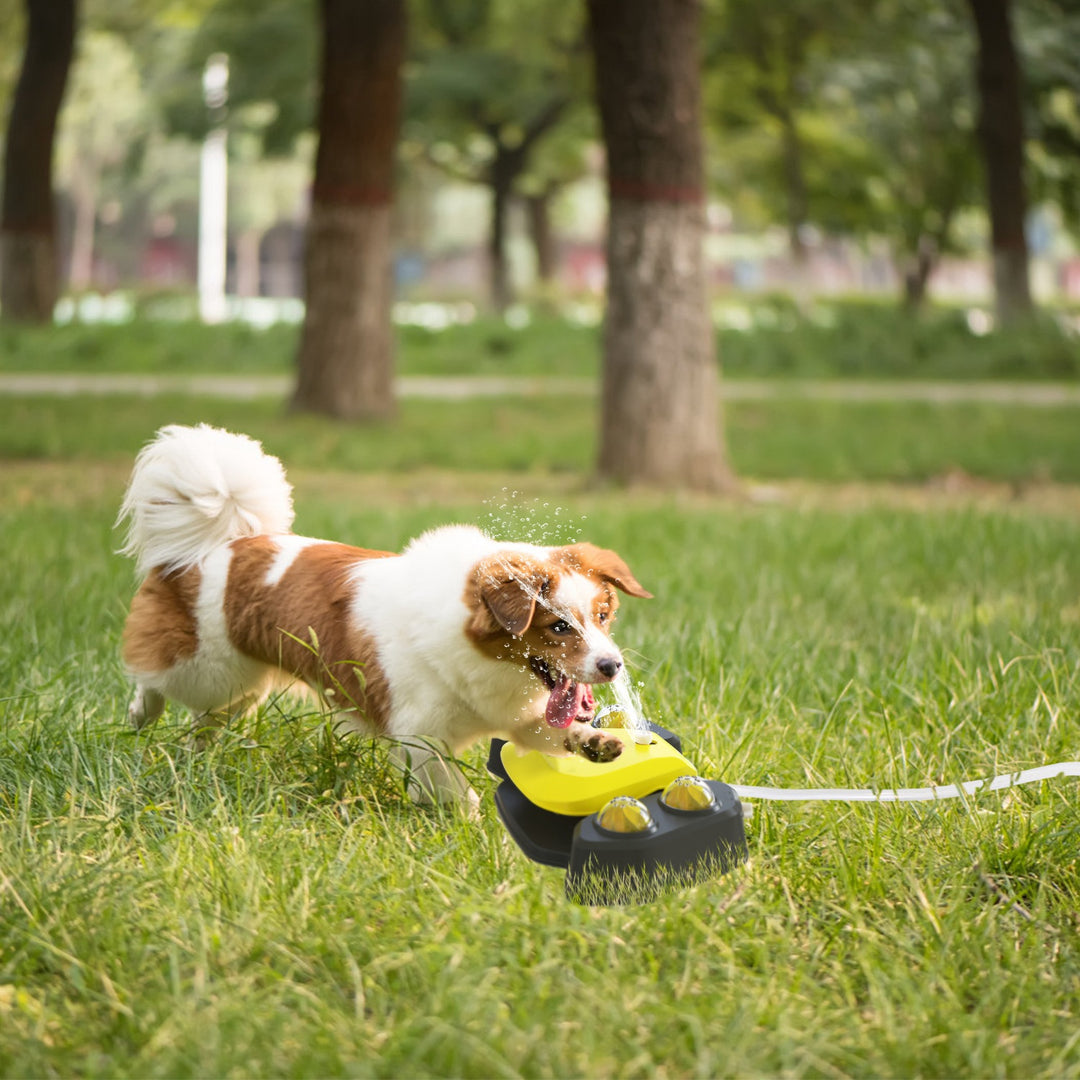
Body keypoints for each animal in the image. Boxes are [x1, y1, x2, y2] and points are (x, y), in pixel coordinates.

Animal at [118, 425, 648, 807]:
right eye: (558, 627)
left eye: (603, 616)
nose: (612, 666)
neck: (486, 660)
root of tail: (221, 544)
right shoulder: (420, 736)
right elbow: (458, 793)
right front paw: (474, 828)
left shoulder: (517, 716)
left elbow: (556, 731)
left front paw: (597, 742)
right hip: (207, 670)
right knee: (154, 677)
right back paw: (141, 717)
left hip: (240, 688)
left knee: (204, 722)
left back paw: (194, 757)